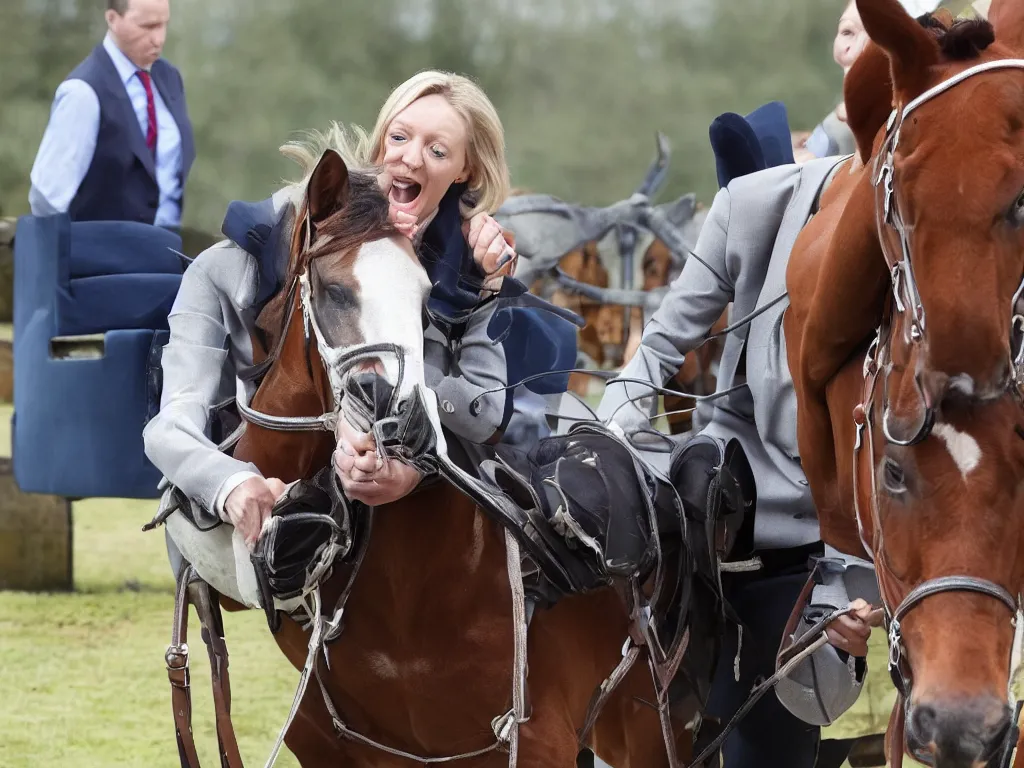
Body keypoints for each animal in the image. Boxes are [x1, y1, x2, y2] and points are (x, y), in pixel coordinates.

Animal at [163, 145, 704, 768]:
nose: (403, 415)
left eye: (424, 301)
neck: (413, 593)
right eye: (333, 289)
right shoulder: (328, 745)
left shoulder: (538, 741)